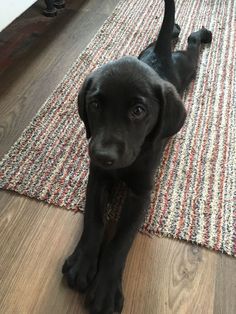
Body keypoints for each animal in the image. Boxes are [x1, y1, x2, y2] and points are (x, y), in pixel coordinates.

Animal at [61, 1, 211, 312]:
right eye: (95, 104)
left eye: (138, 111)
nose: (103, 154)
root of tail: (161, 57)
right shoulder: (98, 177)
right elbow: (94, 219)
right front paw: (82, 264)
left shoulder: (141, 194)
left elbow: (121, 240)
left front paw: (105, 290)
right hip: (149, 48)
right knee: (168, 38)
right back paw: (174, 28)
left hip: (186, 66)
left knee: (191, 48)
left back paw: (201, 34)